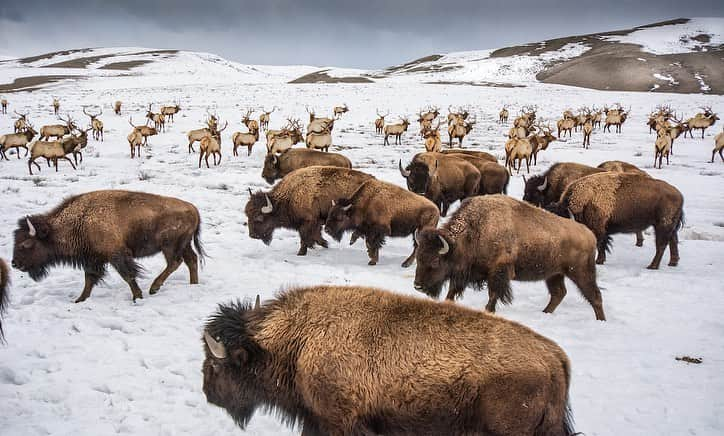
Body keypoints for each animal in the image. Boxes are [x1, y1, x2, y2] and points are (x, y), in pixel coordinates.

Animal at [11, 191, 204, 304]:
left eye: (26, 244)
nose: (14, 263)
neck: (81, 221)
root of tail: (194, 208)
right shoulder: (92, 259)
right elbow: (89, 279)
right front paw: (79, 300)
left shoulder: (117, 255)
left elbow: (128, 276)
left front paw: (137, 297)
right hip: (183, 245)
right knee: (191, 261)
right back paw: (193, 285)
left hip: (169, 246)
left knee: (176, 262)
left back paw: (154, 288)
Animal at [247, 166, 376, 255]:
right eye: (247, 215)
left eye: (259, 218)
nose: (252, 235)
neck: (290, 195)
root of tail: (373, 180)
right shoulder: (315, 222)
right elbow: (315, 236)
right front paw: (324, 244)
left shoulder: (307, 221)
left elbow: (305, 237)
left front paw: (301, 252)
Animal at [412, 194, 604, 320]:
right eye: (419, 258)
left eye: (435, 261)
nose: (417, 286)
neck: (476, 230)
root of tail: (590, 235)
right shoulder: (465, 273)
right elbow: (453, 290)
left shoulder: (499, 272)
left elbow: (493, 294)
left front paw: (488, 311)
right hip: (554, 274)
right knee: (559, 293)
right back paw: (544, 313)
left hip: (581, 273)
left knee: (594, 295)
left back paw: (600, 320)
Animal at [548, 171, 684, 270]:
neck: (584, 201)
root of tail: (679, 195)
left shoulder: (599, 228)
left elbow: (601, 244)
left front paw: (598, 261)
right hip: (670, 227)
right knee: (673, 241)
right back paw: (672, 263)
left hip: (662, 226)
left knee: (661, 245)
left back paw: (652, 266)